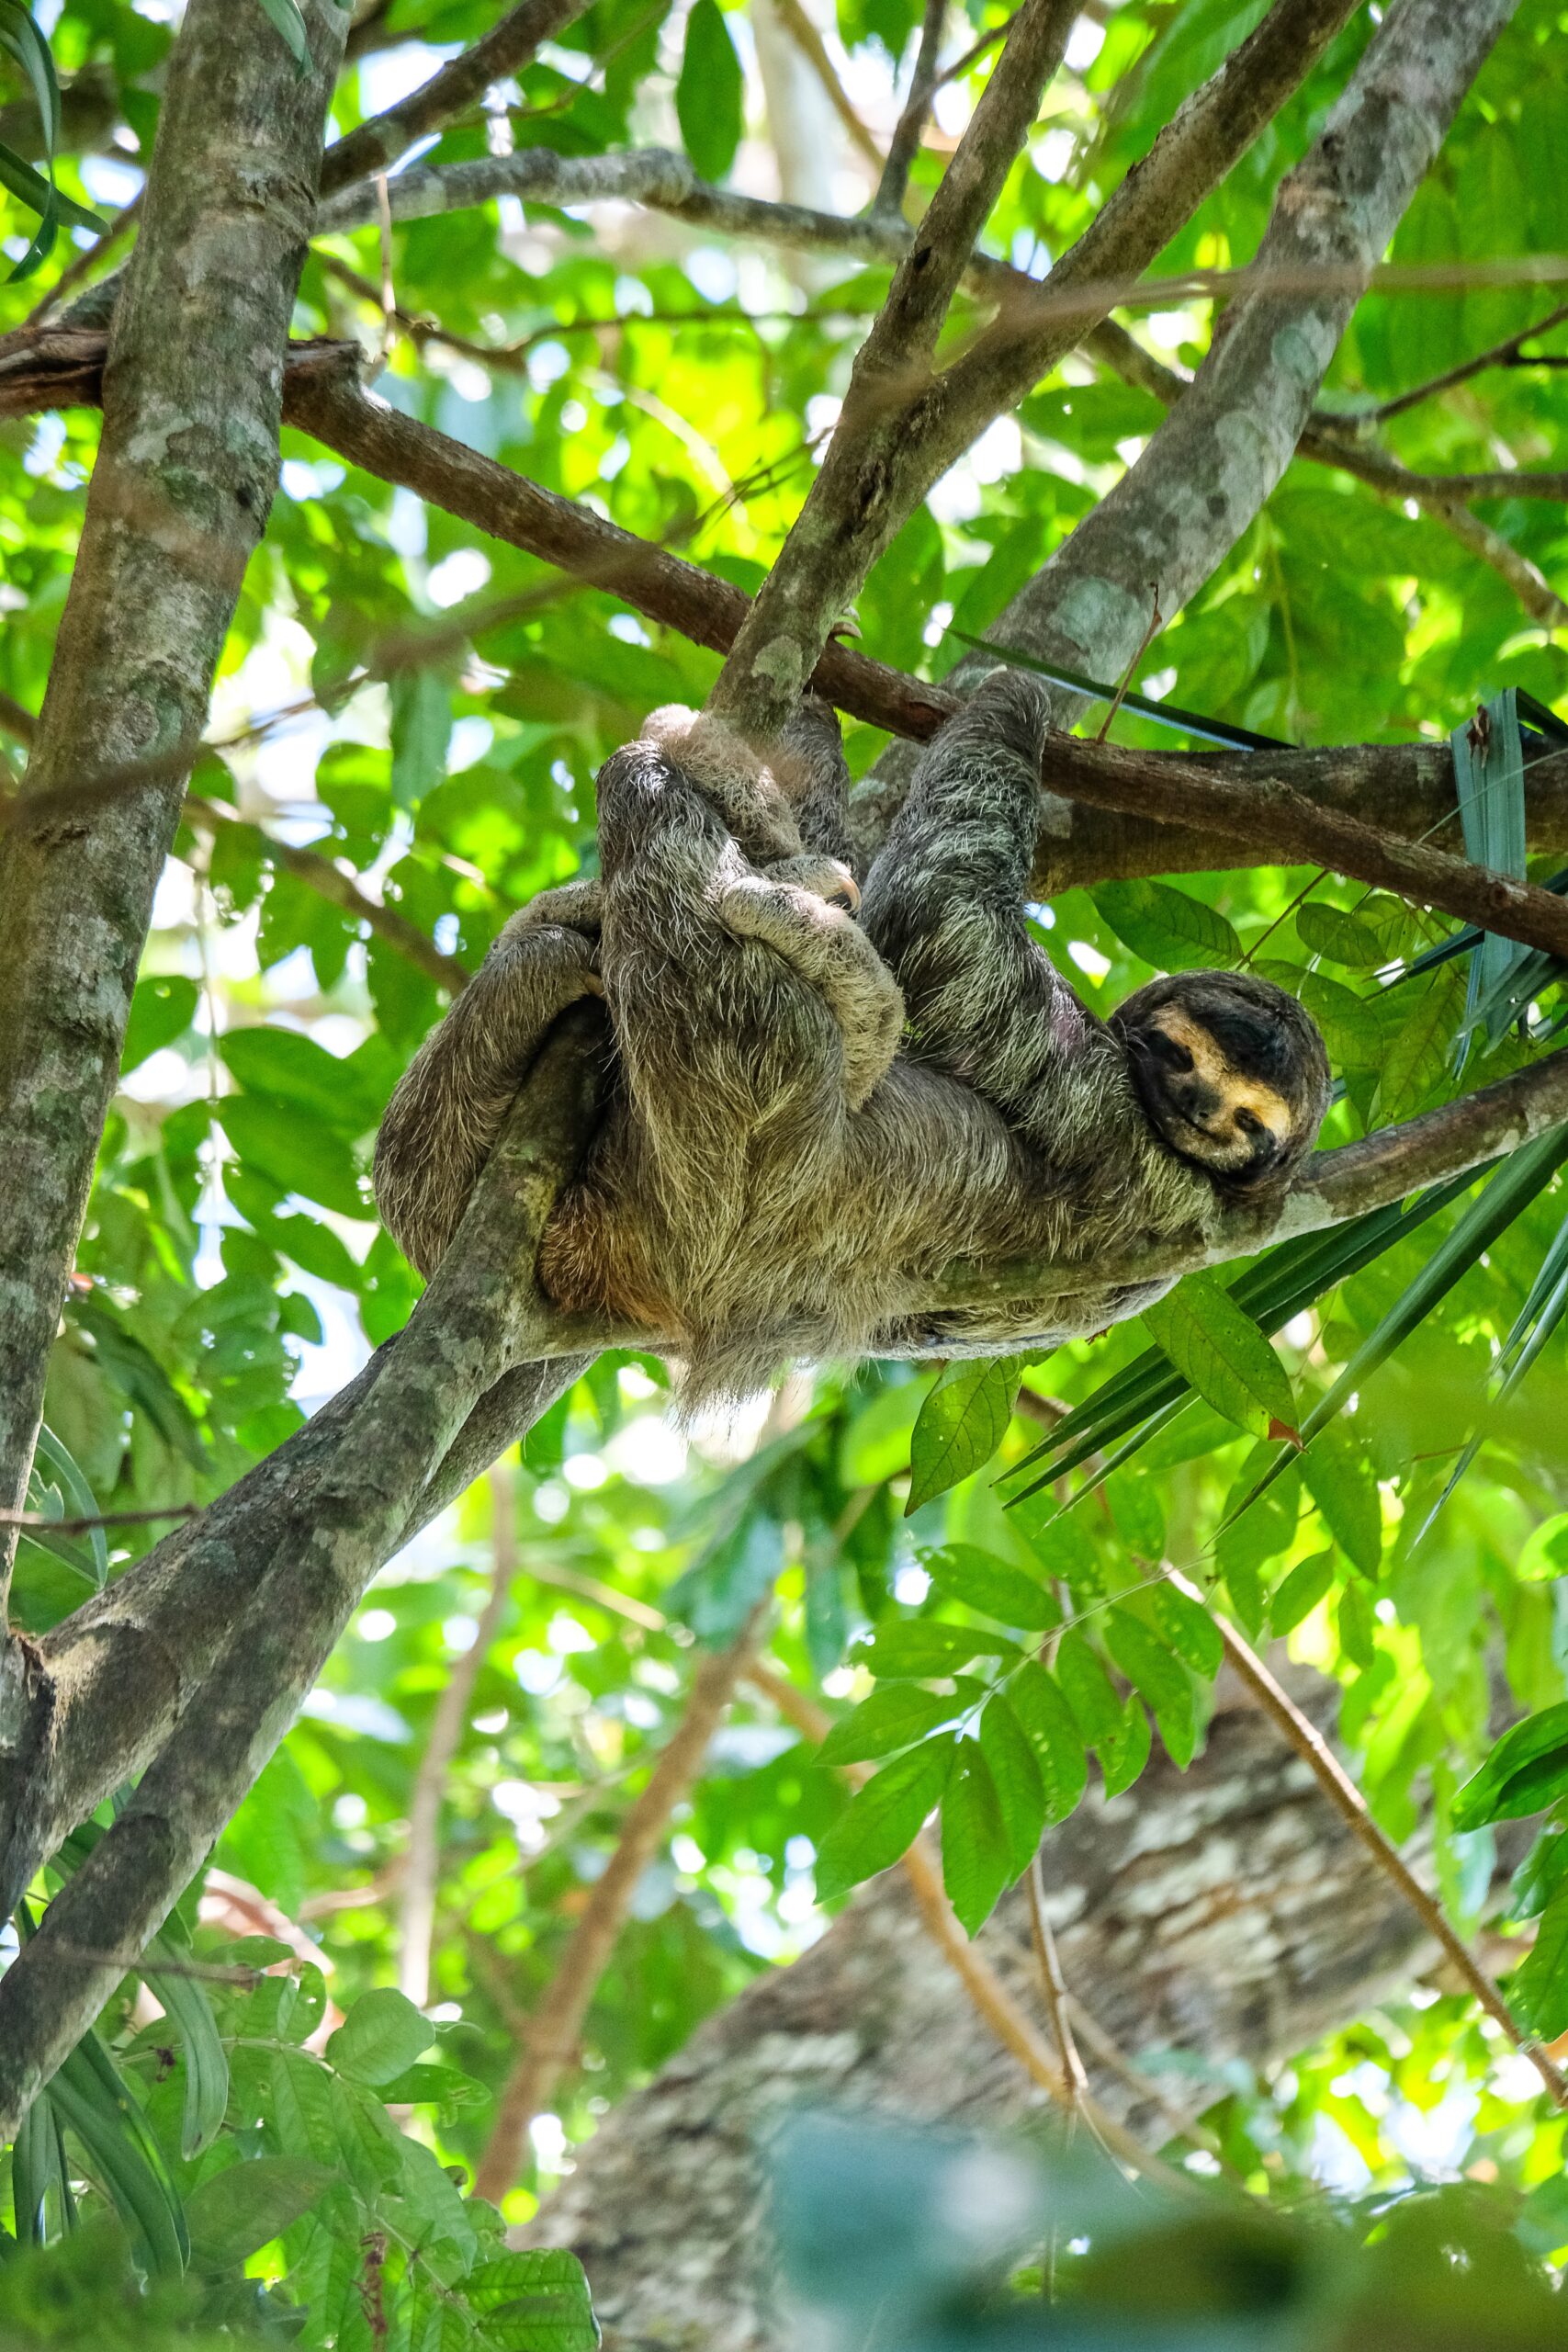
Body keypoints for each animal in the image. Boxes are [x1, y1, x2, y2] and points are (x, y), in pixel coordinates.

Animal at [373, 671, 1330, 1408]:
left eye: (1251, 1123)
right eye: (1182, 1054)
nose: (1198, 1110)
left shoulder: (1106, 1120)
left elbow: (941, 918)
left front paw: (1015, 693)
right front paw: (823, 709)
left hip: (718, 1150)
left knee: (665, 836)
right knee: (417, 1159)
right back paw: (554, 945)